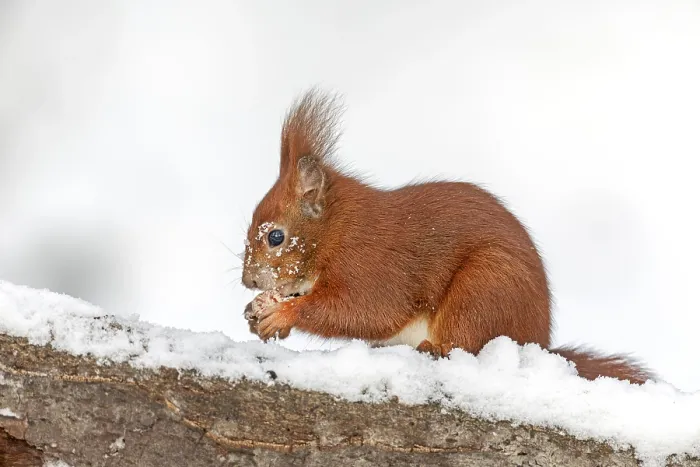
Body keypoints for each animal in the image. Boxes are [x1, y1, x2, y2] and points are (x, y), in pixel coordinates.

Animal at [241, 88, 653, 385]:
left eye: (275, 237)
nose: (248, 281)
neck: (335, 231)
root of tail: (538, 343)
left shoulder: (371, 264)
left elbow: (363, 310)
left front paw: (282, 313)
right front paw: (258, 310)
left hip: (483, 291)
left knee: (465, 342)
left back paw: (433, 348)